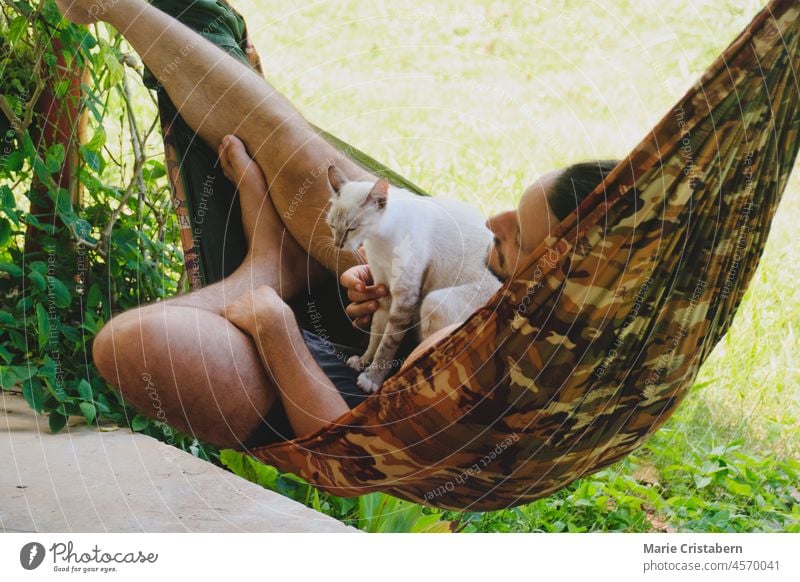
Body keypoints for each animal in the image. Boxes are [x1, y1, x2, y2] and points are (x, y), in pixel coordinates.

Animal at [324, 164, 500, 394]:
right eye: (332, 225)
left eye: (353, 228)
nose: (338, 245)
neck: (378, 243)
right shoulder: (383, 290)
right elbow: (375, 334)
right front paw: (363, 362)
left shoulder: (404, 297)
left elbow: (386, 346)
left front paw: (372, 380)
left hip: (433, 303)